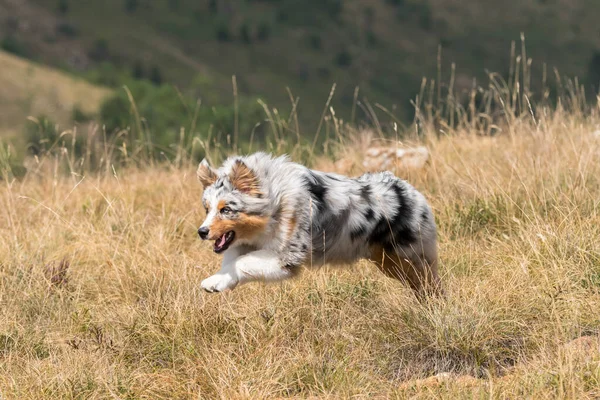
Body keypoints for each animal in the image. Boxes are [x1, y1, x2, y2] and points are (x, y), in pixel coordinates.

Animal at [197, 152, 440, 296]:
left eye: (226, 210)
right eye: (207, 209)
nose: (201, 231)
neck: (274, 207)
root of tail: (410, 190)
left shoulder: (287, 257)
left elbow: (242, 262)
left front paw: (214, 281)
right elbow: (232, 261)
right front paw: (218, 281)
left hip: (411, 257)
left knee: (430, 281)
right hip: (387, 262)